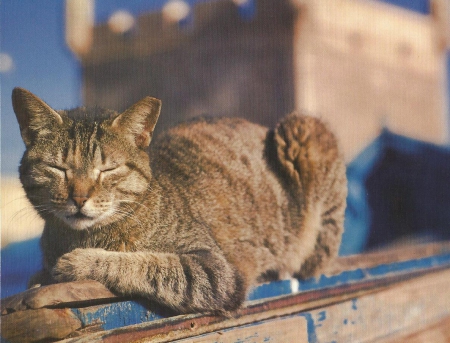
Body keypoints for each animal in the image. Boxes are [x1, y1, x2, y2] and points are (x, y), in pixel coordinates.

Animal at [12, 88, 346, 314]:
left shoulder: (216, 271)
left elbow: (149, 264)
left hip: (303, 130)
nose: (79, 197)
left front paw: (79, 261)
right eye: (58, 168)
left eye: (108, 170)